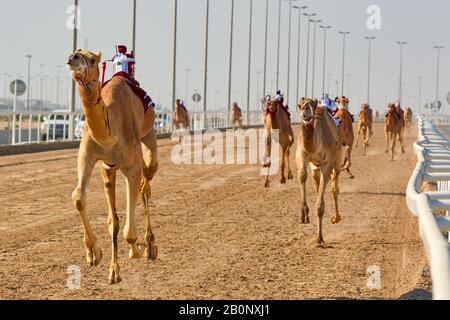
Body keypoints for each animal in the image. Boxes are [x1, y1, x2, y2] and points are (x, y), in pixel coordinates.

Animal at [66, 50, 158, 284]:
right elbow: (80, 199)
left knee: (146, 183)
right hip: (109, 169)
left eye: (92, 59)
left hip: (148, 138)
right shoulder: (89, 156)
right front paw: (96, 256)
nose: (74, 57)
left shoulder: (131, 166)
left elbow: (128, 229)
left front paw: (135, 250)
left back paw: (150, 245)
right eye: (76, 53)